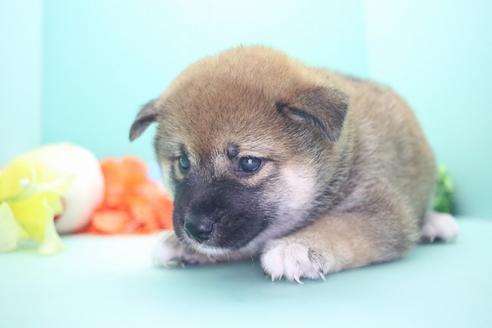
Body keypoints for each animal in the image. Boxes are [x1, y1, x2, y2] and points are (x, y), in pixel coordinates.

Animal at [130, 45, 458, 282]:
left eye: (248, 163)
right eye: (184, 163)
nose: (194, 228)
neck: (341, 160)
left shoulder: (385, 212)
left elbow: (344, 225)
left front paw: (299, 246)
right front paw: (181, 246)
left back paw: (435, 223)